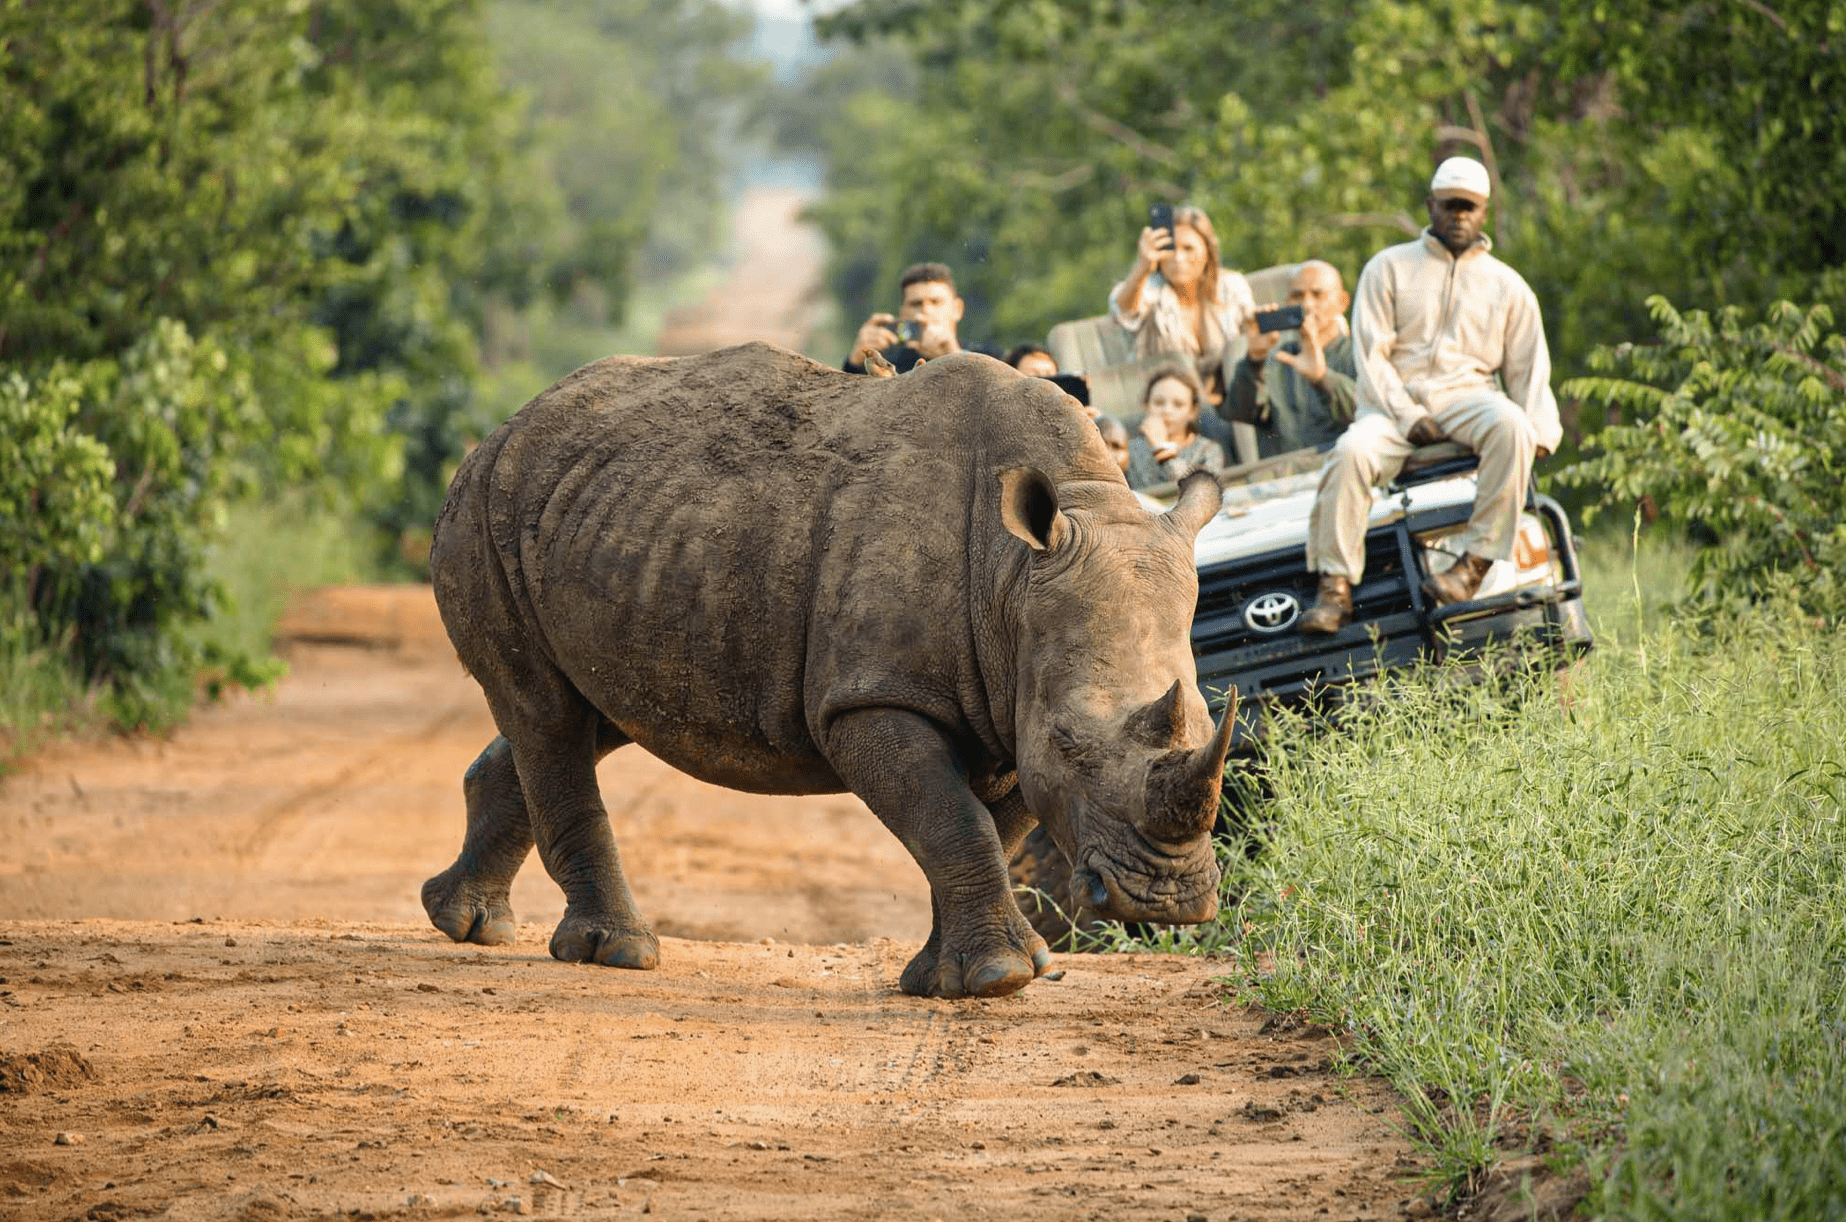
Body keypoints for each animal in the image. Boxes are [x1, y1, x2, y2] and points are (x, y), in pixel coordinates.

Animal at [420, 343, 1234, 999]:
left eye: (1206, 717)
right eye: (1070, 741)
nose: (1165, 901)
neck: (1013, 577)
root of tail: (502, 429)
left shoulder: (1009, 705)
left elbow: (986, 832)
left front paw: (945, 980)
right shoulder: (872, 698)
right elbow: (954, 822)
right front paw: (1001, 977)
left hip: (617, 524)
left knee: (589, 714)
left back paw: (463, 921)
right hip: (486, 509)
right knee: (546, 712)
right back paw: (613, 953)